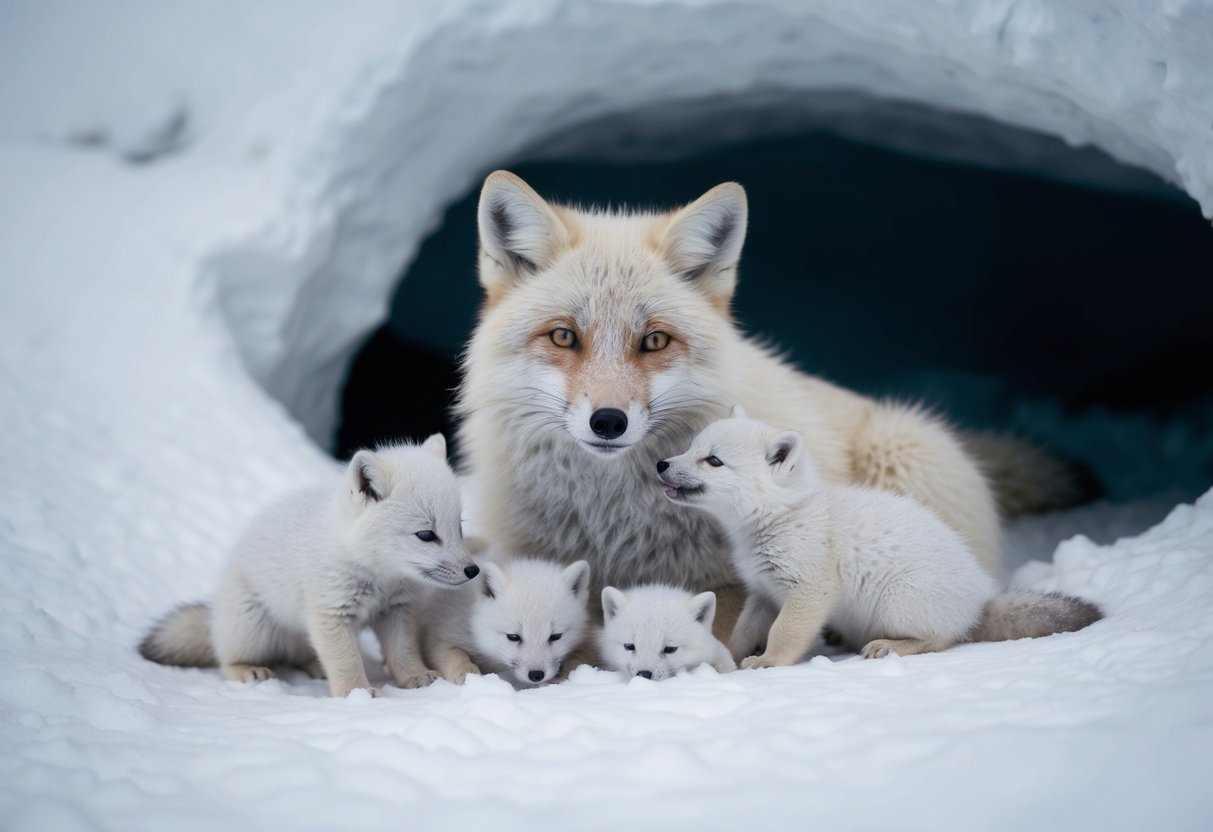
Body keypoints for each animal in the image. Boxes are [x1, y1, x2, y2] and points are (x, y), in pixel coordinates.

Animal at [139, 435, 479, 697]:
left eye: (459, 528)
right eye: (426, 535)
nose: (472, 571)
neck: (377, 574)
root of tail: (214, 614)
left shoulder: (396, 611)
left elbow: (403, 652)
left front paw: (416, 676)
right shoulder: (331, 614)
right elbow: (346, 660)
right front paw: (357, 693)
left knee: (301, 655)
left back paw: (316, 666)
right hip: (251, 628)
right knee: (226, 660)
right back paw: (248, 670)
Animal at [420, 557, 592, 688]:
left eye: (556, 636)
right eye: (513, 636)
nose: (536, 675)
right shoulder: (441, 635)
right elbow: (456, 655)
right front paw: (467, 674)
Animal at [457, 171, 1080, 630]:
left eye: (654, 340)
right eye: (564, 336)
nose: (608, 422)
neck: (613, 522)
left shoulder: (731, 584)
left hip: (899, 450)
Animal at [658, 410, 1103, 668]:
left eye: (713, 460)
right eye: (692, 448)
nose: (661, 464)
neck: (784, 517)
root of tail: (981, 600)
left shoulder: (808, 590)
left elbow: (784, 634)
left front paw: (767, 663)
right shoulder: (764, 593)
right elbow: (743, 633)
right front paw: (727, 659)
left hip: (897, 600)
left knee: (943, 639)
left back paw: (889, 647)